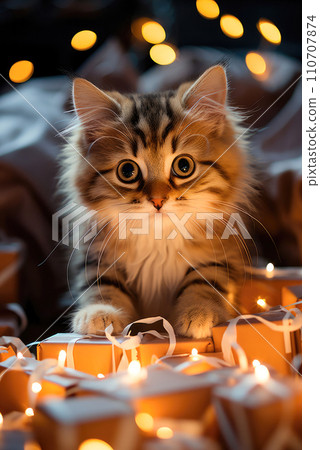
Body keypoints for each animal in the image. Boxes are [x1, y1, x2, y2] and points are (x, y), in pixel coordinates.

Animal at [60, 64, 255, 338]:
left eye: (183, 166)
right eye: (127, 171)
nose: (157, 200)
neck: (158, 238)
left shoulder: (222, 254)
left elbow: (203, 279)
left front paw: (199, 313)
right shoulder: (95, 255)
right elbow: (103, 285)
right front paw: (100, 314)